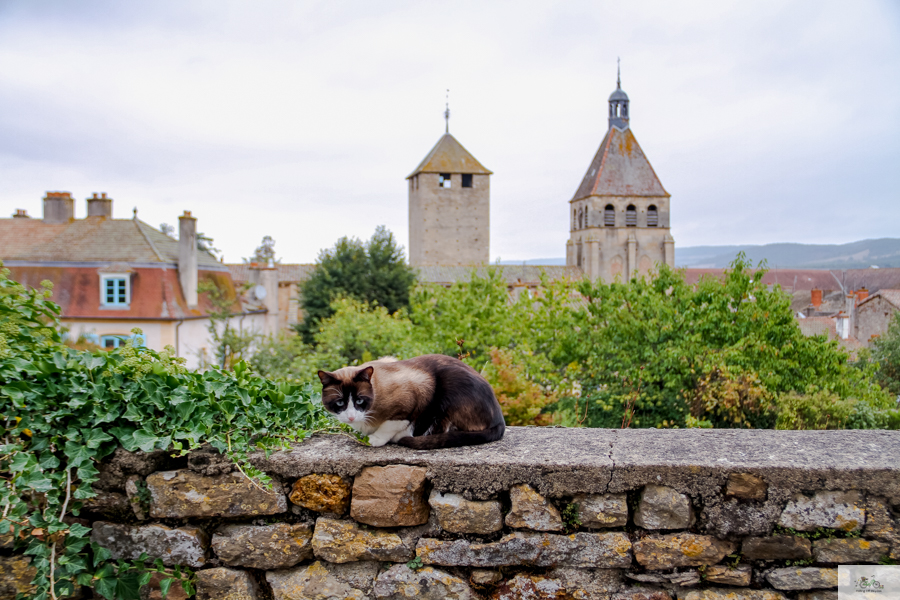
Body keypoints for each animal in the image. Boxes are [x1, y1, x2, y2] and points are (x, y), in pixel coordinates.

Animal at [316, 354, 506, 448]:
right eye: (340, 403)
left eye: (360, 401)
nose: (351, 417)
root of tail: (500, 420)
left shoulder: (411, 401)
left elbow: (390, 426)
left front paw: (375, 439)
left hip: (449, 389)